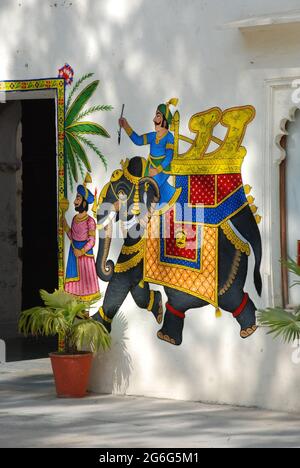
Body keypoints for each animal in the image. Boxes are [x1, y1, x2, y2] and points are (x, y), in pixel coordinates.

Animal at [92, 157, 262, 344]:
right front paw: (157, 305)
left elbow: (123, 276)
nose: (108, 265)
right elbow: (135, 283)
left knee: (226, 298)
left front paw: (96, 324)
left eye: (122, 192)